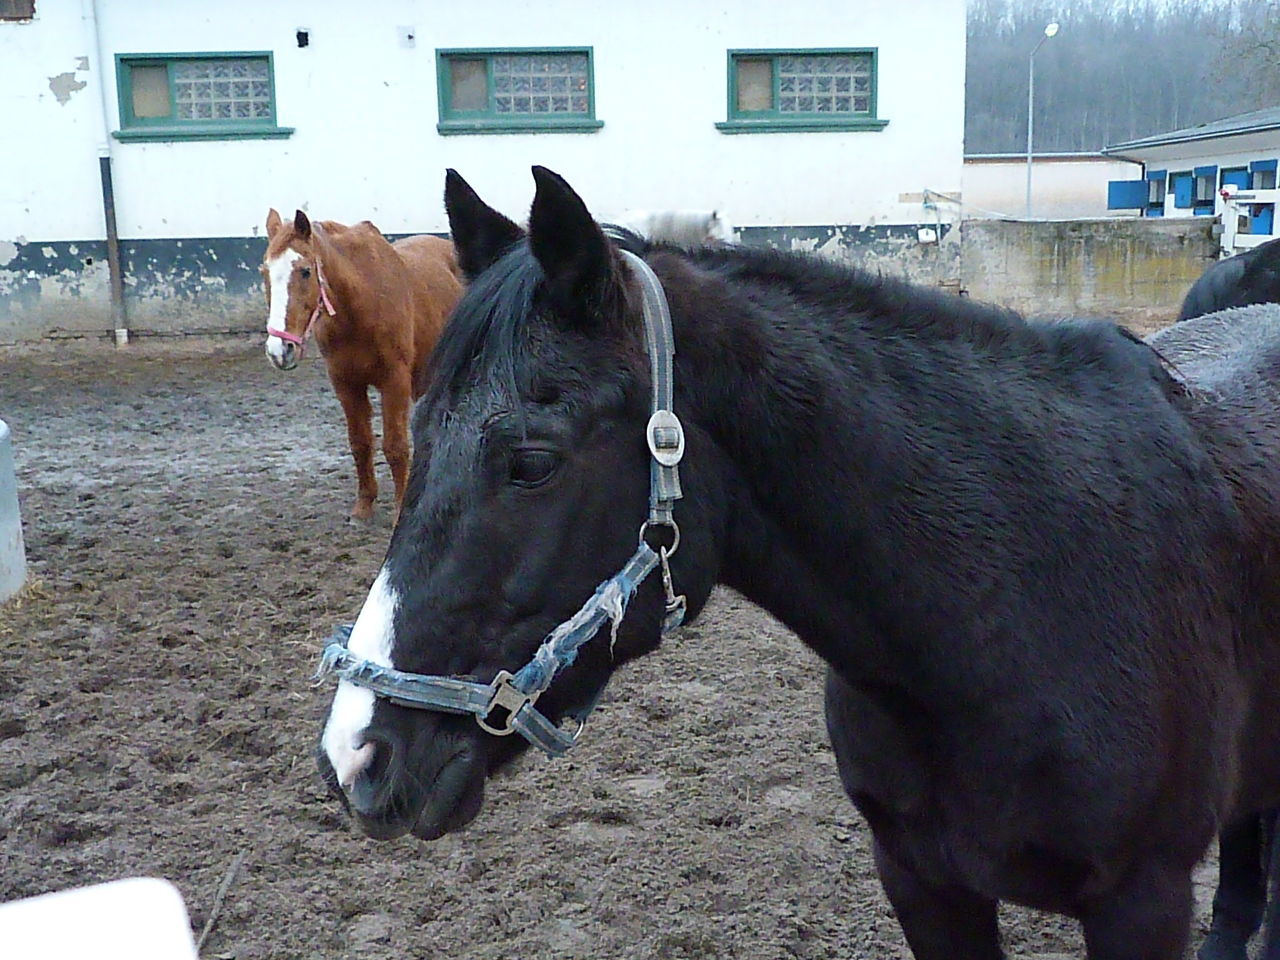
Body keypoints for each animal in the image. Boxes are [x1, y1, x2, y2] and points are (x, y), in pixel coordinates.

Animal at [258, 211, 460, 527]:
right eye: (264, 272)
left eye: (305, 271)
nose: (280, 351)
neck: (362, 303)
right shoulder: (345, 382)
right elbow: (360, 443)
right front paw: (364, 507)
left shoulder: (394, 381)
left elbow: (395, 446)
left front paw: (400, 511)